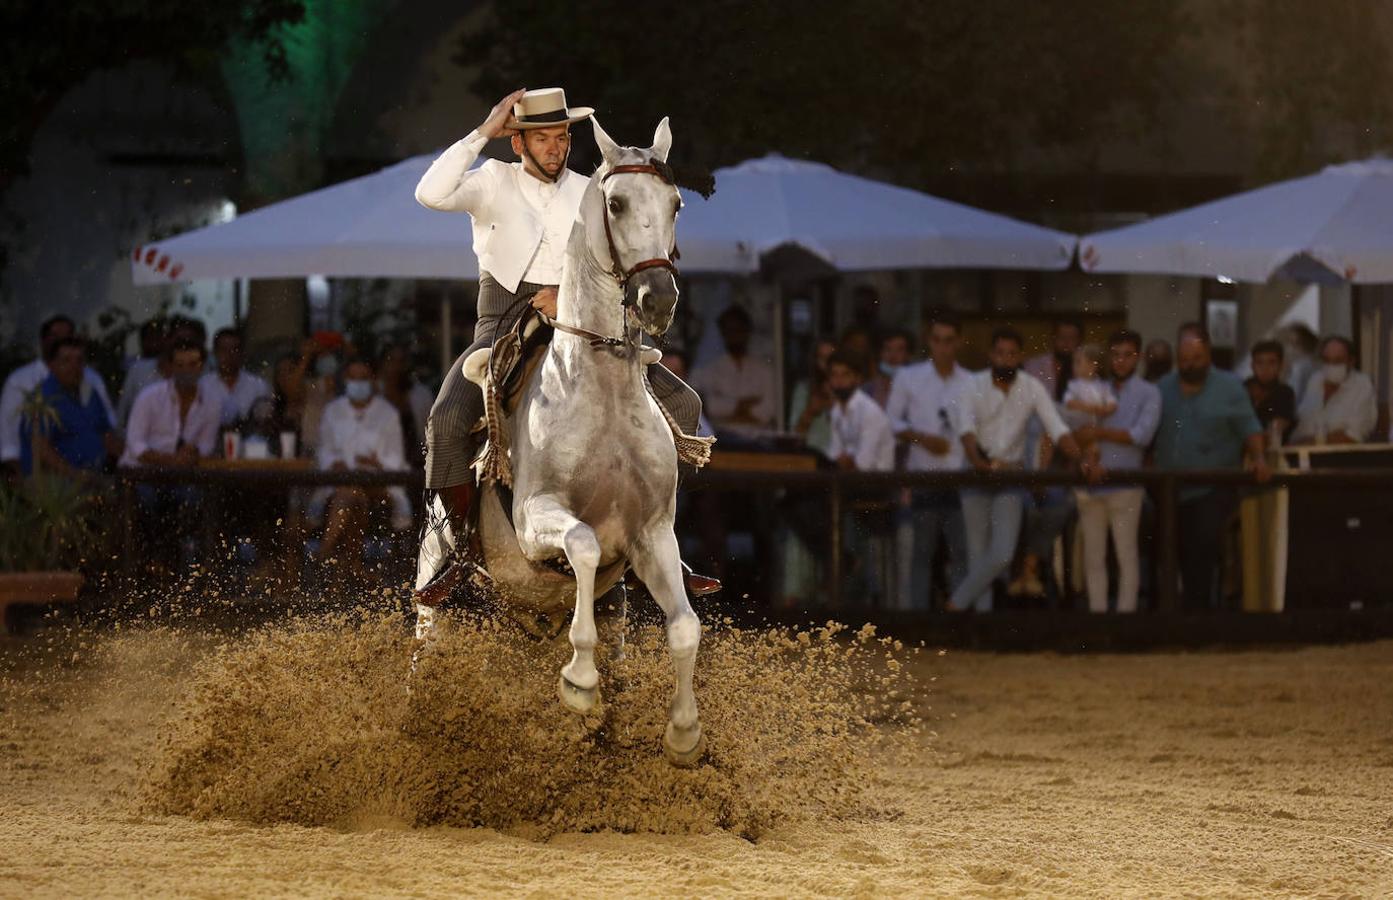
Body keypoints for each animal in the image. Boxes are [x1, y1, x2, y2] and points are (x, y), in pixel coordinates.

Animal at [412, 116, 707, 769]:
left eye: (676, 203)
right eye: (616, 203)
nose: (657, 299)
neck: (599, 394)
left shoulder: (654, 534)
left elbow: (684, 627)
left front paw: (683, 733)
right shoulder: (535, 521)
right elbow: (584, 546)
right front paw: (579, 682)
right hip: (436, 614)